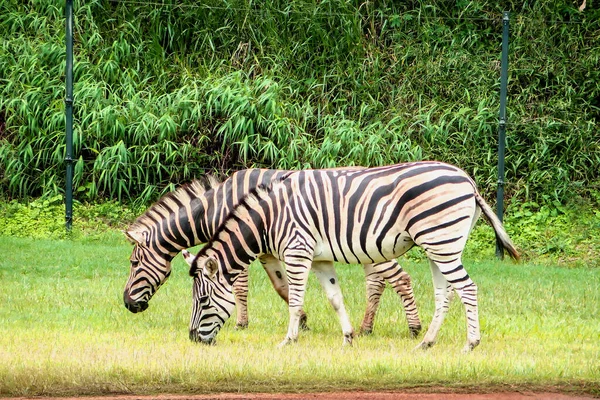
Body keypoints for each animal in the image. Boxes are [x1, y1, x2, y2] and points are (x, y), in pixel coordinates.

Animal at [122, 167, 422, 336]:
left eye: (134, 263)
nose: (127, 304)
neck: (215, 206)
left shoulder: (239, 246)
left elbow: (239, 287)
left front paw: (241, 324)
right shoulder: (266, 253)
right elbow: (282, 287)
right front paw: (303, 321)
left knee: (400, 279)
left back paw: (414, 329)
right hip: (368, 248)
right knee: (377, 282)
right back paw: (366, 328)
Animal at [188, 161, 520, 352]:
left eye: (202, 300)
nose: (192, 339)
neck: (269, 218)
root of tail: (468, 180)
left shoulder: (297, 252)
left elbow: (295, 300)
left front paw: (288, 340)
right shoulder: (320, 259)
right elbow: (335, 298)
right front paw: (348, 338)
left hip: (441, 241)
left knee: (468, 288)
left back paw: (470, 344)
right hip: (439, 245)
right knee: (445, 294)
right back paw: (426, 342)